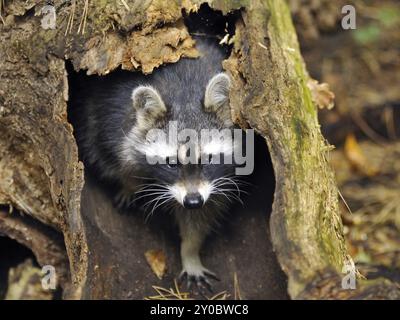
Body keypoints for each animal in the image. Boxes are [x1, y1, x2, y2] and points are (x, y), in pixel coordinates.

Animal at [73, 37, 245, 290]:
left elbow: (201, 215)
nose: (192, 200)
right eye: (172, 163)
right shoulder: (113, 119)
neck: (185, 96)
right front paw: (130, 184)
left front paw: (190, 251)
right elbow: (118, 157)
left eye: (208, 159)